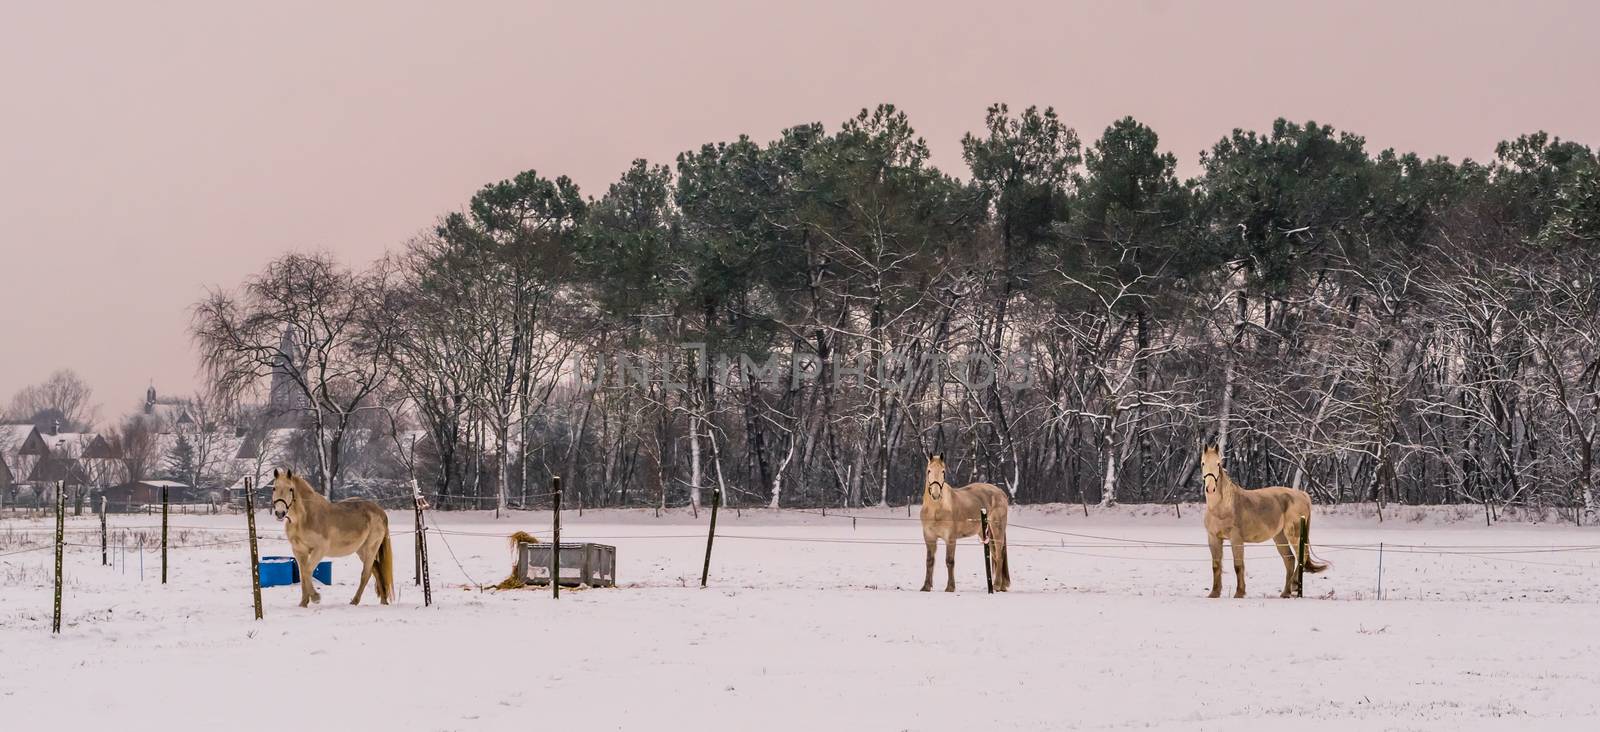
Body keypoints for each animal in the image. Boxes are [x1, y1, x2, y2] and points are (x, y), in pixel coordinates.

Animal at [268, 469, 393, 607]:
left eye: (290, 489)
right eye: (274, 488)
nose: (280, 513)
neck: (304, 518)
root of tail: (381, 512)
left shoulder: (319, 550)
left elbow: (307, 571)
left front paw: (315, 597)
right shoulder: (299, 551)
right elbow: (303, 575)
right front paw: (303, 603)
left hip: (370, 548)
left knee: (366, 574)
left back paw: (355, 601)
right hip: (361, 550)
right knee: (375, 569)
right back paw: (383, 600)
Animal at [921, 453, 1004, 591]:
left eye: (943, 471)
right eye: (929, 471)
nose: (936, 494)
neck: (936, 509)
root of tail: (1001, 492)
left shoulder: (950, 538)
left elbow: (949, 561)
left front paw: (950, 587)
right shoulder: (929, 537)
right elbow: (929, 561)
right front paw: (926, 587)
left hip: (997, 530)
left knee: (999, 555)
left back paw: (997, 585)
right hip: (984, 533)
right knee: (994, 556)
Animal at [1203, 444, 1331, 597]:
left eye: (1218, 464)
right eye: (1203, 463)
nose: (1210, 488)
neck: (1222, 507)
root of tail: (1302, 494)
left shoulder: (1236, 539)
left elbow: (1238, 566)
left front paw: (1239, 593)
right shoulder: (1213, 539)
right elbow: (1216, 566)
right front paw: (1214, 593)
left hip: (1294, 535)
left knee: (1302, 557)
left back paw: (1294, 586)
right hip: (1280, 537)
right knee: (1290, 559)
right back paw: (1286, 592)